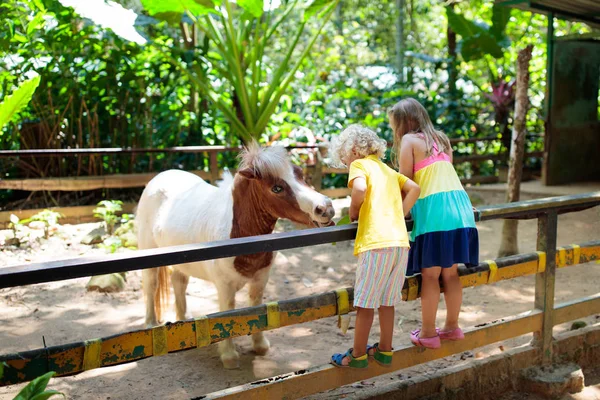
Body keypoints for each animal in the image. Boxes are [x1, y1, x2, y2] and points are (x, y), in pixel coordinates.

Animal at [136, 143, 336, 368]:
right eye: (276, 188)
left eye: (301, 175)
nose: (326, 209)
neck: (238, 237)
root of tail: (158, 179)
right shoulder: (224, 287)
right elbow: (226, 313)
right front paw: (229, 356)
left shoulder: (260, 280)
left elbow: (256, 309)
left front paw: (259, 345)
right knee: (151, 285)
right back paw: (151, 325)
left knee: (179, 281)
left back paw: (184, 321)